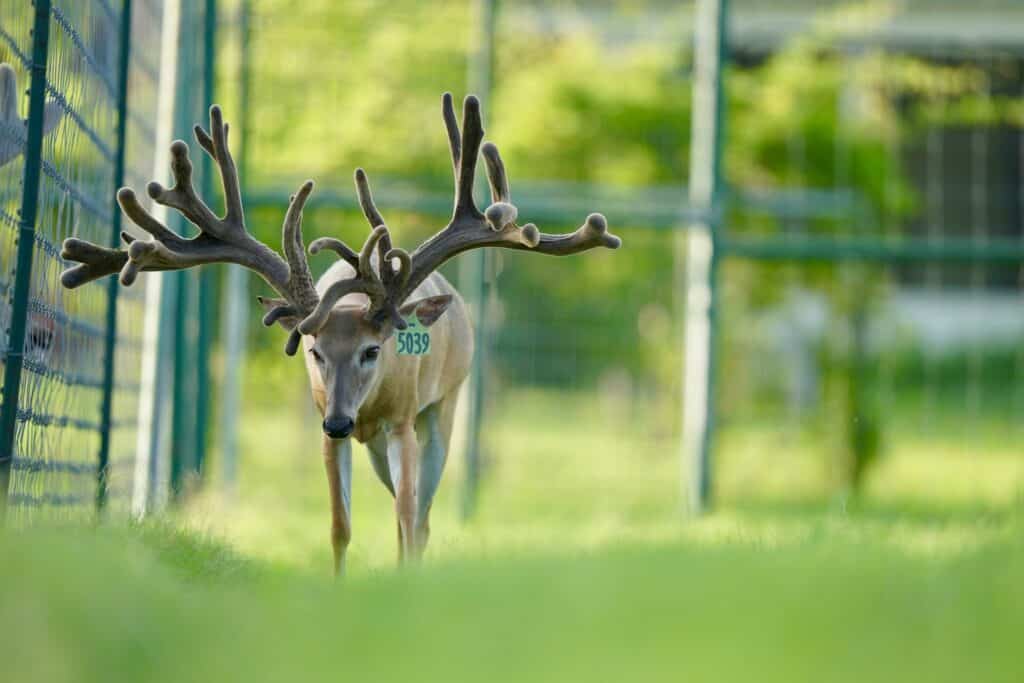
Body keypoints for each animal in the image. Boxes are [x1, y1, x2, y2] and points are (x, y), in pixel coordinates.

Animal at [59, 94, 620, 573]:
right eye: (314, 351)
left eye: (373, 349)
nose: (338, 421)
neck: (368, 406)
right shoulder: (328, 425)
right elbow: (340, 525)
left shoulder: (402, 420)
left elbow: (408, 516)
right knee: (403, 509)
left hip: (445, 405)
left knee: (421, 515)